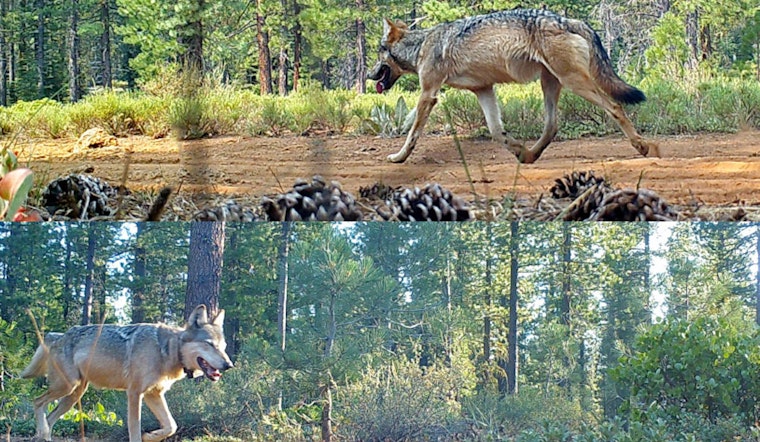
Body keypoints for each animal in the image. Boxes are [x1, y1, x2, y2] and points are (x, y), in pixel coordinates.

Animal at [21, 305, 233, 442]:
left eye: (223, 346)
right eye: (210, 344)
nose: (229, 365)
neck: (166, 350)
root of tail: (57, 336)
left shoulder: (153, 394)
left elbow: (171, 426)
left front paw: (151, 436)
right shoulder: (135, 393)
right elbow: (135, 429)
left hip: (73, 395)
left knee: (49, 417)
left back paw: (43, 435)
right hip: (67, 387)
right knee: (37, 402)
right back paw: (42, 431)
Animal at [368, 9, 660, 164]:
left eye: (378, 53)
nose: (370, 76)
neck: (420, 47)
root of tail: (567, 20)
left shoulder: (428, 94)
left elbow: (412, 134)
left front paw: (398, 157)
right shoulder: (484, 89)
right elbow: (497, 132)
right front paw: (517, 149)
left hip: (574, 82)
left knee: (615, 106)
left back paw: (643, 147)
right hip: (550, 84)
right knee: (552, 125)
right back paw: (529, 155)